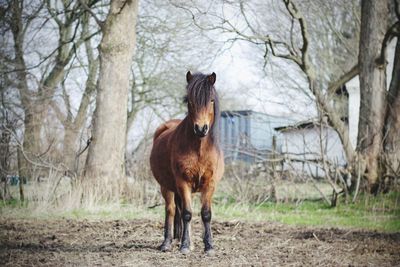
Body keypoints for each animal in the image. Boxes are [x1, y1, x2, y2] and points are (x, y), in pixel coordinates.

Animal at [151, 72, 225, 256]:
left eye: (211, 100)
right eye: (190, 101)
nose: (201, 129)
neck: (199, 148)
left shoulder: (210, 184)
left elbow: (206, 214)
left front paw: (209, 246)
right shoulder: (183, 183)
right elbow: (186, 214)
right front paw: (184, 245)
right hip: (166, 187)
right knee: (170, 210)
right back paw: (167, 243)